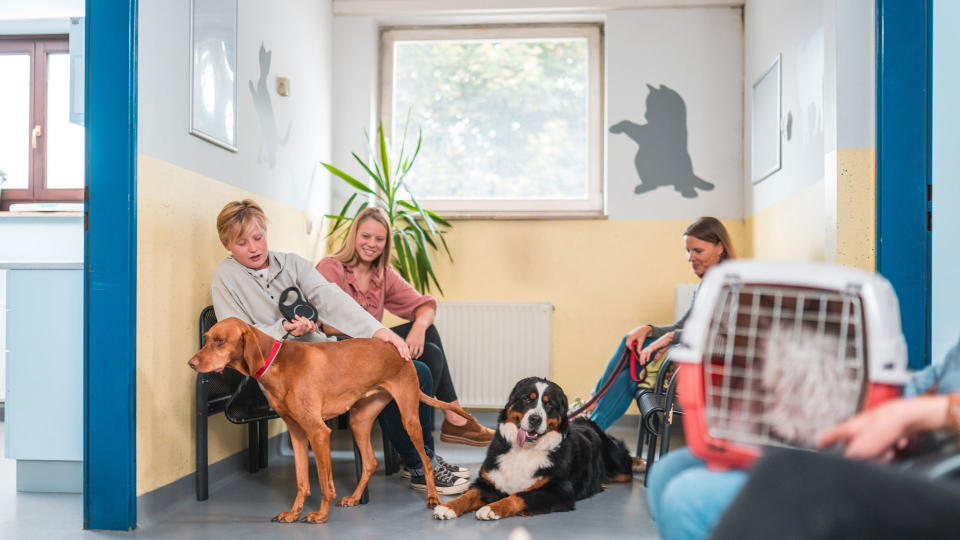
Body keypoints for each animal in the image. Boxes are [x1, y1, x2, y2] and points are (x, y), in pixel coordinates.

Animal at [188, 316, 476, 524]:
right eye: (206, 338)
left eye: (220, 340)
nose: (191, 363)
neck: (277, 363)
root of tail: (398, 348)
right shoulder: (297, 433)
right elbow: (302, 481)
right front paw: (293, 513)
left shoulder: (318, 432)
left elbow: (325, 483)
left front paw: (320, 515)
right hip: (359, 420)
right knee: (370, 462)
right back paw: (355, 498)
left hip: (409, 418)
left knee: (425, 459)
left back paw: (432, 497)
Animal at [432, 374, 632, 520]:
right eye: (527, 399)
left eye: (549, 403)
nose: (535, 419)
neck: (524, 451)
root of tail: (588, 422)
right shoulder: (488, 481)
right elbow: (468, 495)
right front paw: (448, 507)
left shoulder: (560, 491)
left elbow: (519, 496)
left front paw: (491, 508)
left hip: (618, 466)